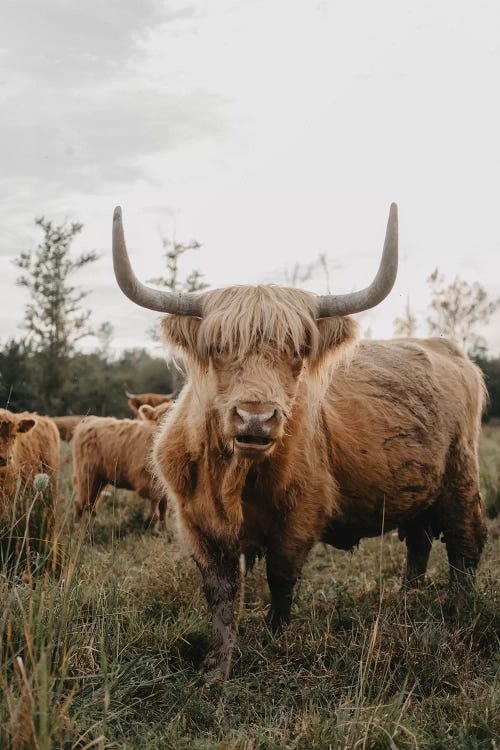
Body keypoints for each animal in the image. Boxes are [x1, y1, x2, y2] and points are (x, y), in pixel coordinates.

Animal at [72, 402, 173, 532]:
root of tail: (89, 419)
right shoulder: (146, 478)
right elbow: (156, 499)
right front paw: (150, 525)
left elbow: (164, 504)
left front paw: (164, 529)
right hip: (87, 474)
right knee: (81, 501)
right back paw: (77, 528)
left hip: (100, 478)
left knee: (91, 502)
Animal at [111, 204, 486, 680]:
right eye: (218, 348)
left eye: (297, 352)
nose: (256, 417)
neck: (235, 476)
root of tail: (450, 351)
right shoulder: (195, 519)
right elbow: (220, 591)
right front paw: (217, 666)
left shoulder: (301, 512)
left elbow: (281, 577)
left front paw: (273, 638)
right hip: (414, 491)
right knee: (419, 544)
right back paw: (407, 603)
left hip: (460, 477)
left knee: (465, 546)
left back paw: (458, 615)